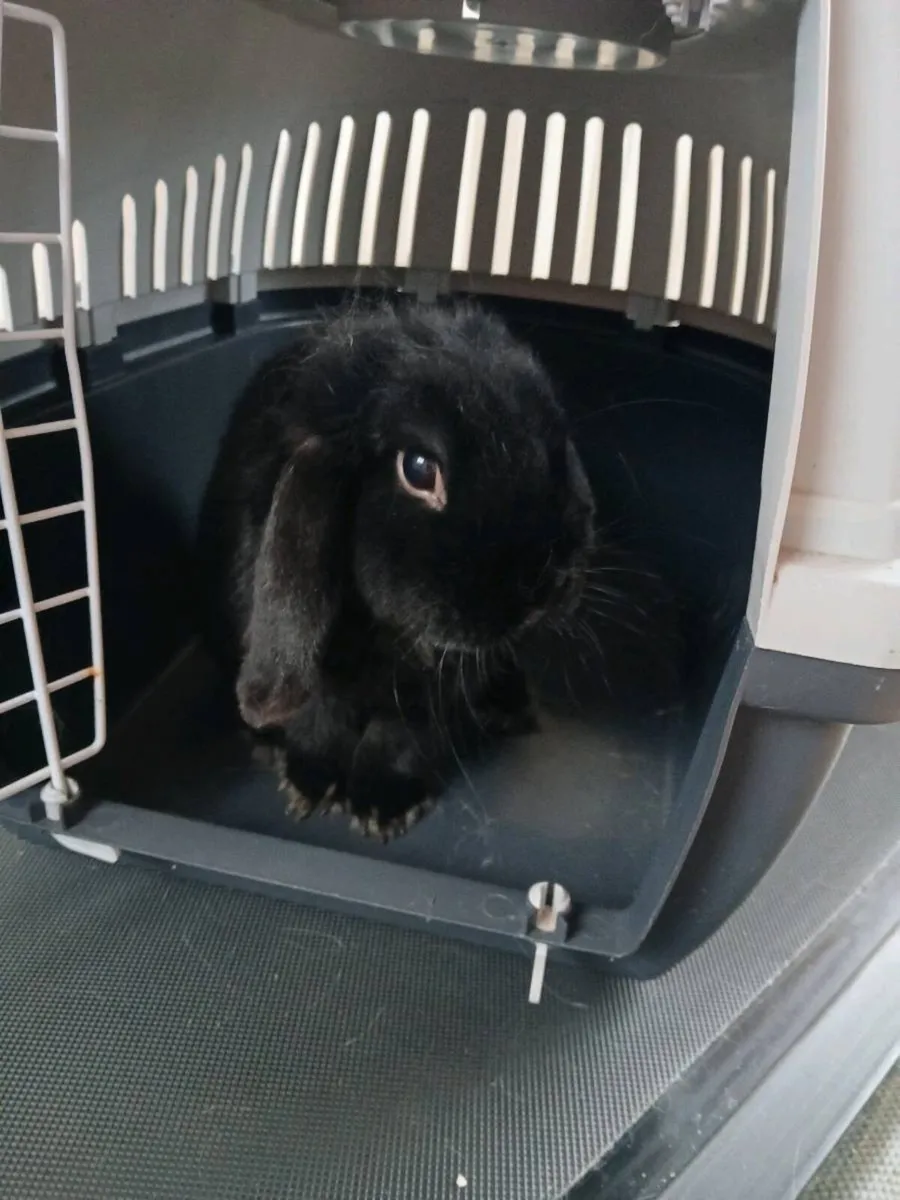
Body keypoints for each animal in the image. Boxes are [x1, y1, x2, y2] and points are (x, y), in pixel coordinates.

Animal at [197, 301, 595, 839]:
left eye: (551, 436)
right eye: (419, 469)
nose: (544, 589)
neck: (387, 633)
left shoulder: (428, 698)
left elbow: (398, 739)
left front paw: (383, 808)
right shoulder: (317, 687)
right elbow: (317, 724)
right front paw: (307, 784)